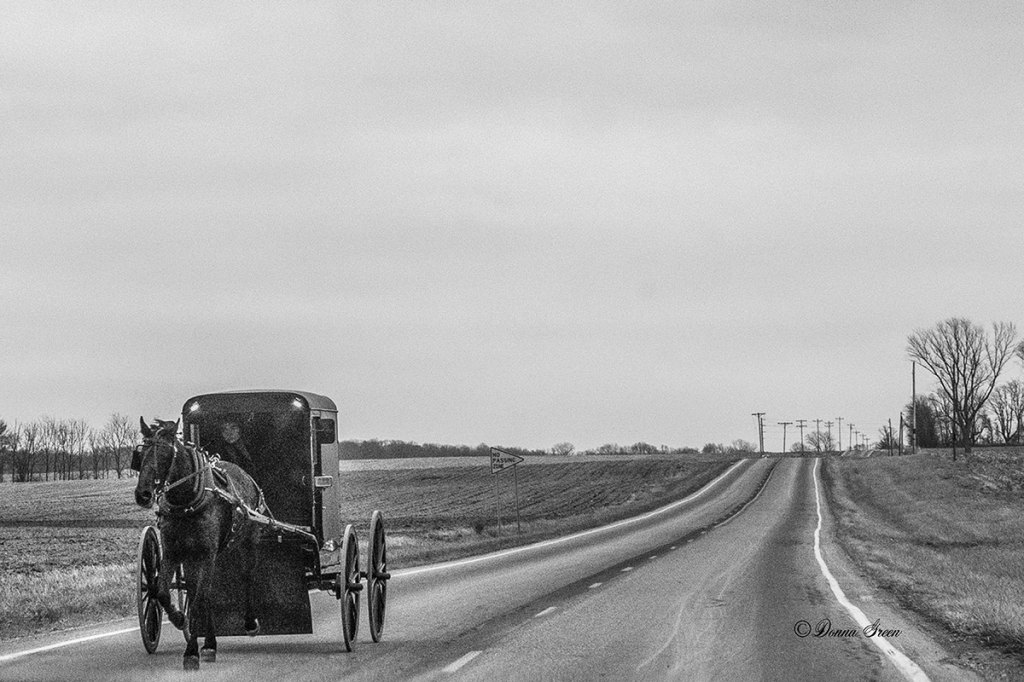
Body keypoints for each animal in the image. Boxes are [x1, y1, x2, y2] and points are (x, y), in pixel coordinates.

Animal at [134, 417, 266, 667]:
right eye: (141, 452)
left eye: (165, 453)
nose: (143, 494)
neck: (186, 500)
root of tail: (245, 474)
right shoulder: (174, 552)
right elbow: (162, 592)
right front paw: (179, 618)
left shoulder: (207, 553)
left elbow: (197, 602)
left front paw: (191, 651)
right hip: (195, 557)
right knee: (204, 591)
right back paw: (209, 644)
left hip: (247, 541)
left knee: (247, 576)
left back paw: (249, 622)